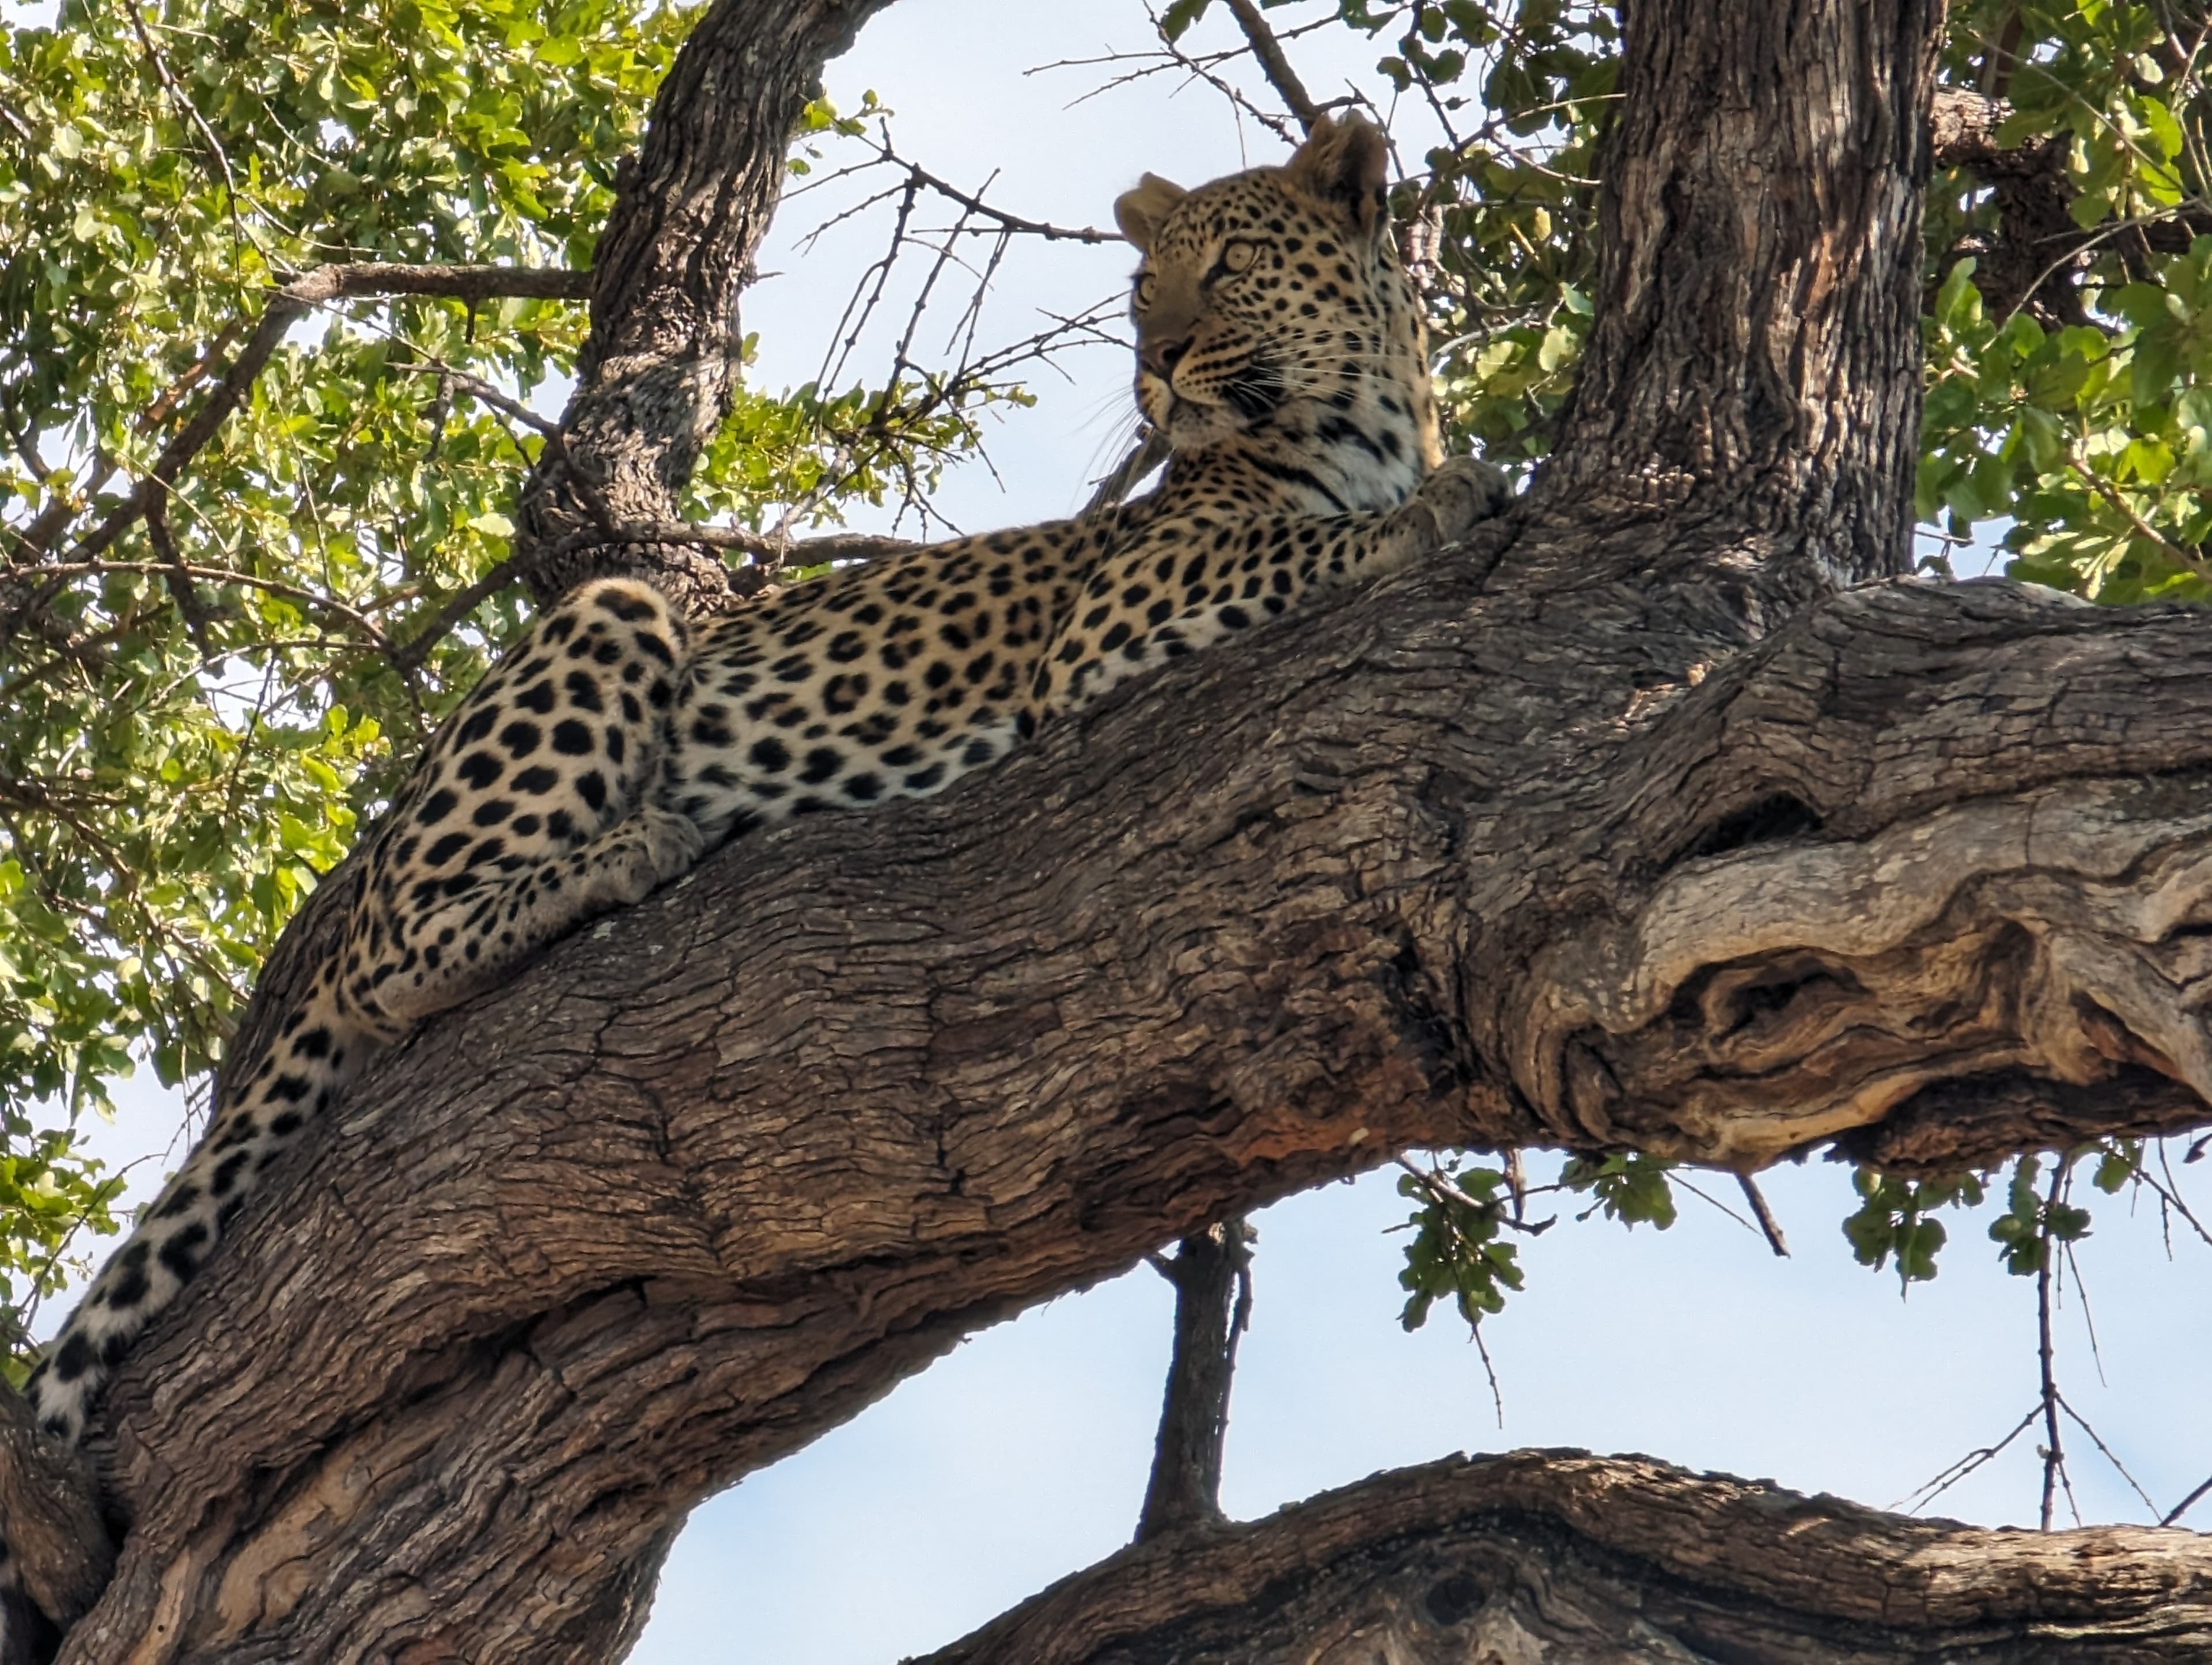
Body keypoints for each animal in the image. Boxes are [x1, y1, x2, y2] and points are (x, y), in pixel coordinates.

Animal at [13, 111, 1510, 1483]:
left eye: (1235, 264)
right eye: (1147, 286)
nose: (1157, 364)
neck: (1372, 417)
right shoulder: (1120, 607)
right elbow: (1298, 543)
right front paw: (1434, 509)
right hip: (602, 628)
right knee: (397, 955)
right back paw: (629, 849)